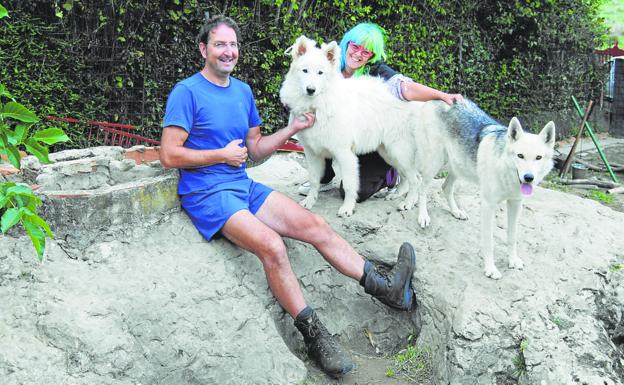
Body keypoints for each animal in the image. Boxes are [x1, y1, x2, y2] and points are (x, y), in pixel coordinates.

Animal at [404, 100, 556, 278]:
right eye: (520, 156)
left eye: (538, 157)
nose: (529, 177)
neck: (506, 173)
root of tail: (434, 100)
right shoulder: (488, 206)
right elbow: (489, 242)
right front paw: (490, 269)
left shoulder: (516, 204)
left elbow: (512, 237)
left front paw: (513, 261)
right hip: (435, 163)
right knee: (422, 187)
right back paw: (423, 216)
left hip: (457, 167)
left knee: (445, 187)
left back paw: (456, 212)